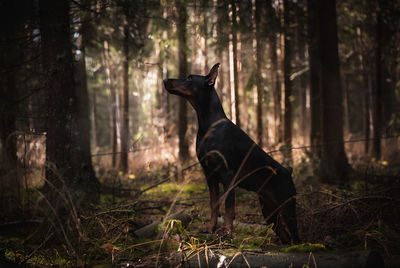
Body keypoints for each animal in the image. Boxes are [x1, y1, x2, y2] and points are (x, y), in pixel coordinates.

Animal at [164, 63, 298, 244]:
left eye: (190, 78)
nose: (165, 80)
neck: (209, 125)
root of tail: (287, 170)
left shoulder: (228, 174)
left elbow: (229, 207)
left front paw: (227, 231)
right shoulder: (210, 174)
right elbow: (214, 205)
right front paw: (210, 228)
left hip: (288, 206)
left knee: (295, 233)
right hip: (268, 209)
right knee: (282, 232)